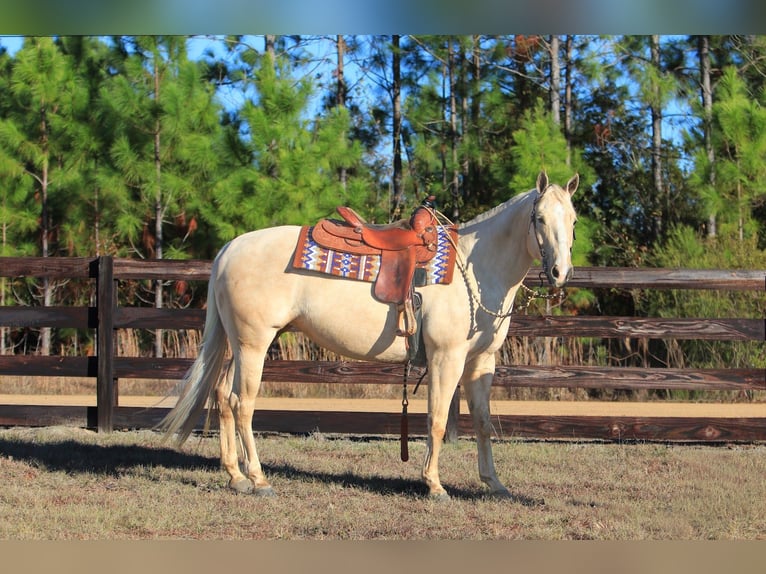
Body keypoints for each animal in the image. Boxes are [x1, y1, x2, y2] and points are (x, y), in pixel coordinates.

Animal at [159, 171, 579, 499]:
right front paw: (434, 485)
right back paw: (259, 480)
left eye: (573, 220)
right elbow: (437, 418)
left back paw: (236, 476)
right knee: (242, 402)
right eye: (540, 218)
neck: (475, 269)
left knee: (222, 397)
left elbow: (483, 422)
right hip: (254, 344)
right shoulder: (447, 357)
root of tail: (229, 249)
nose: (560, 273)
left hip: (240, 345)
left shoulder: (480, 362)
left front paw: (494, 483)